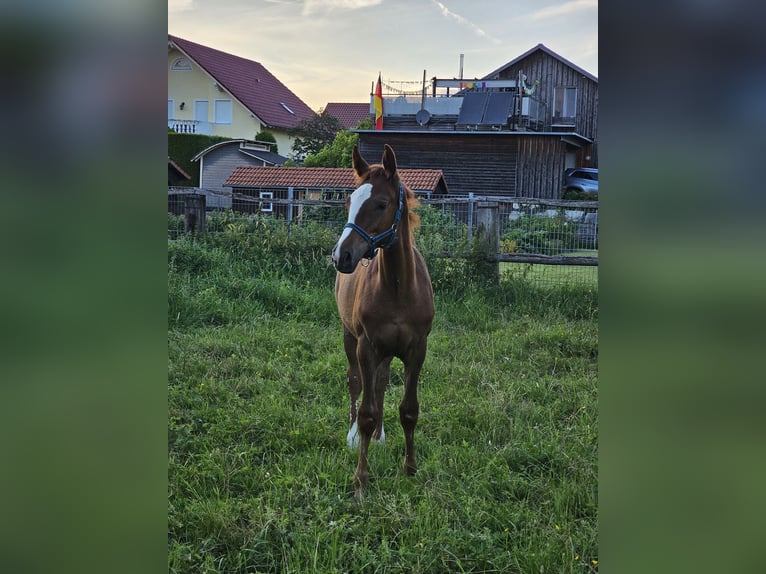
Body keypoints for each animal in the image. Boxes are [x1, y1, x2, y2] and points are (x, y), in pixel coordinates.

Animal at [332, 144, 436, 500]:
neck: (398, 286)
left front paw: (411, 469)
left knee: (379, 381)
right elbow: (366, 409)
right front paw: (360, 481)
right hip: (350, 337)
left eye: (381, 203)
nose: (341, 256)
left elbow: (409, 409)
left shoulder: (417, 349)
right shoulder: (366, 345)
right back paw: (354, 436)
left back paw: (379, 435)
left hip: (389, 351)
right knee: (355, 382)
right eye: (348, 201)